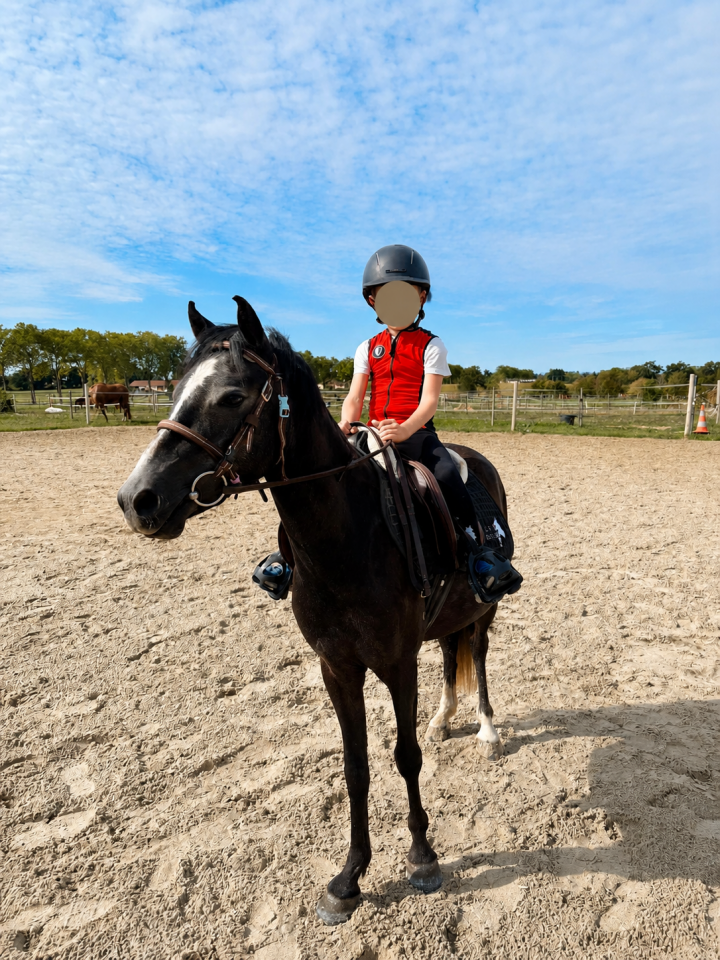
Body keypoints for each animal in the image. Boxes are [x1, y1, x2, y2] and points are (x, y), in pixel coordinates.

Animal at [117, 297, 510, 924]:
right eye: (175, 388)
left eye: (232, 396)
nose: (138, 499)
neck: (349, 536)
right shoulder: (337, 667)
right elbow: (355, 767)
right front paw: (349, 878)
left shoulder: (396, 663)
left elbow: (406, 756)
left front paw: (422, 858)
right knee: (452, 655)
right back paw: (445, 717)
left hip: (484, 608)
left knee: (476, 650)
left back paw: (487, 730)